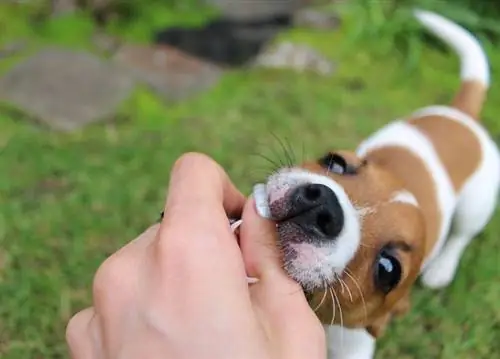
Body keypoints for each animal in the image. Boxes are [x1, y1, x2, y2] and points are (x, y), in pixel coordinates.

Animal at [254, 8, 500, 359]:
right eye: (336, 163)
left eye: (387, 269)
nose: (322, 205)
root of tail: (462, 115)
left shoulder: (354, 346)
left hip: (475, 205)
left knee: (462, 235)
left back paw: (442, 268)